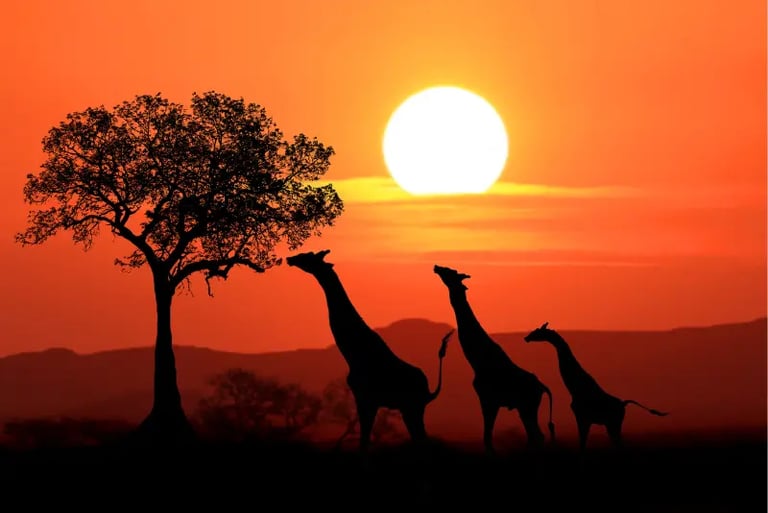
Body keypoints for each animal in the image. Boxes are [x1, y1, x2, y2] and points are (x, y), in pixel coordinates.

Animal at [287, 249, 452, 452]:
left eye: (309, 256)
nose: (290, 259)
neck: (354, 353)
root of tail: (429, 391)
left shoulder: (366, 398)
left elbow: (364, 441)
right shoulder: (366, 399)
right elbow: (364, 440)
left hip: (413, 407)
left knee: (422, 440)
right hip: (410, 408)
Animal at [433, 264, 555, 454]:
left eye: (450, 272)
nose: (436, 267)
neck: (478, 361)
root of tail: (542, 386)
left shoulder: (488, 400)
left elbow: (487, 438)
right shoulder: (490, 401)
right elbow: (487, 438)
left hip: (528, 406)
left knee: (537, 436)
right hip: (524, 408)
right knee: (534, 437)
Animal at [523, 322, 669, 452]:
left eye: (537, 331)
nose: (526, 338)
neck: (575, 388)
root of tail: (623, 404)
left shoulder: (582, 418)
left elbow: (582, 444)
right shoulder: (585, 419)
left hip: (613, 424)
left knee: (620, 445)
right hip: (613, 425)